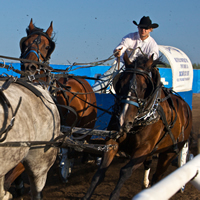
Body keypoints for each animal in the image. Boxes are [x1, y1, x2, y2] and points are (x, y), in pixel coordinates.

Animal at [83, 53, 192, 200]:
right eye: (120, 83)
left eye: (145, 87)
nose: (123, 121)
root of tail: (186, 106)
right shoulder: (112, 142)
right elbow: (99, 174)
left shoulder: (144, 149)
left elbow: (125, 171)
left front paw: (114, 195)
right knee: (149, 165)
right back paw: (145, 183)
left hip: (169, 153)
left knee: (158, 177)